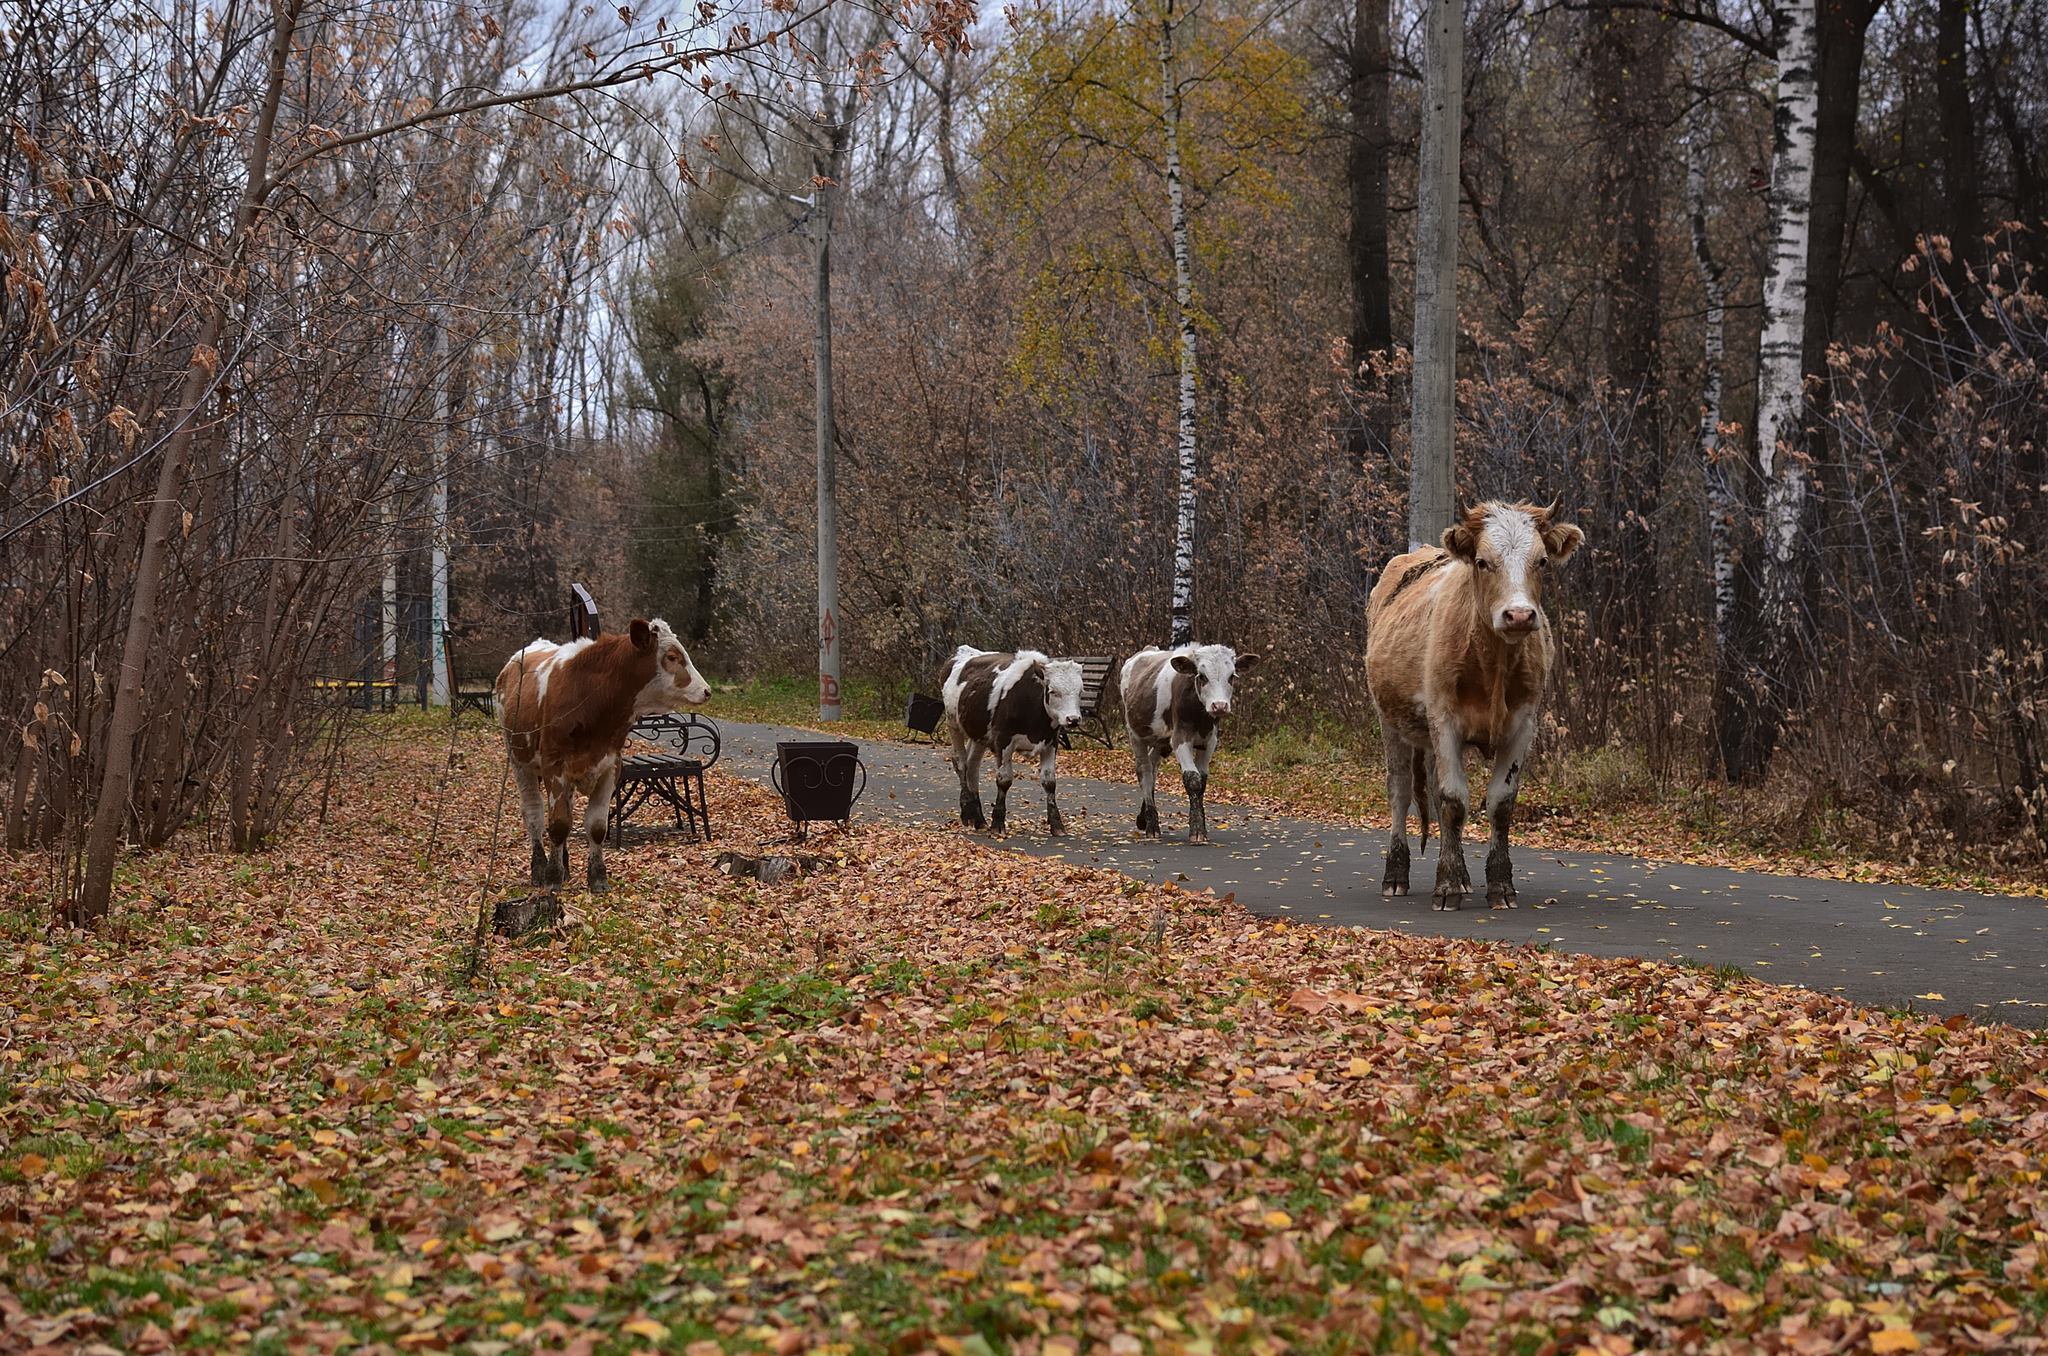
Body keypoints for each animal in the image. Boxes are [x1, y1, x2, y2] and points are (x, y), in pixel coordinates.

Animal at [495, 622, 712, 897]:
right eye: (673, 657)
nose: (707, 691)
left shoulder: (610, 767)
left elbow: (596, 826)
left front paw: (597, 877)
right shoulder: (554, 765)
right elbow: (557, 825)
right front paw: (552, 878)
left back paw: (565, 866)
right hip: (519, 763)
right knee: (534, 815)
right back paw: (539, 868)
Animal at [946, 651, 1097, 839]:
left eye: (1080, 691)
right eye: (1052, 691)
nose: (1073, 719)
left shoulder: (1051, 742)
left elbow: (1049, 782)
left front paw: (1057, 825)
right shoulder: (1002, 741)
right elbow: (1004, 780)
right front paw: (998, 824)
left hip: (979, 735)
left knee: (972, 768)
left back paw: (978, 819)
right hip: (953, 723)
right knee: (960, 763)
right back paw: (967, 812)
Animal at [1122, 643, 1261, 843]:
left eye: (1231, 676)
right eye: (1201, 676)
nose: (1220, 706)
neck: (1199, 715)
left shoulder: (1209, 740)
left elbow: (1202, 781)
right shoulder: (1181, 737)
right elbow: (1192, 779)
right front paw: (1197, 831)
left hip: (1161, 740)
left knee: (1153, 766)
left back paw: (1143, 819)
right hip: (1136, 734)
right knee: (1145, 772)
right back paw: (1152, 826)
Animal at [1368, 499, 1589, 913]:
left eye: (1542, 561)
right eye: (1483, 562)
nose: (1519, 615)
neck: (1493, 664)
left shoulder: (1523, 725)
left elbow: (1499, 803)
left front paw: (1499, 885)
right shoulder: (1445, 721)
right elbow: (1454, 801)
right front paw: (1447, 887)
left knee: (1432, 792)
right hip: (1390, 721)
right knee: (1400, 792)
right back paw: (1395, 875)